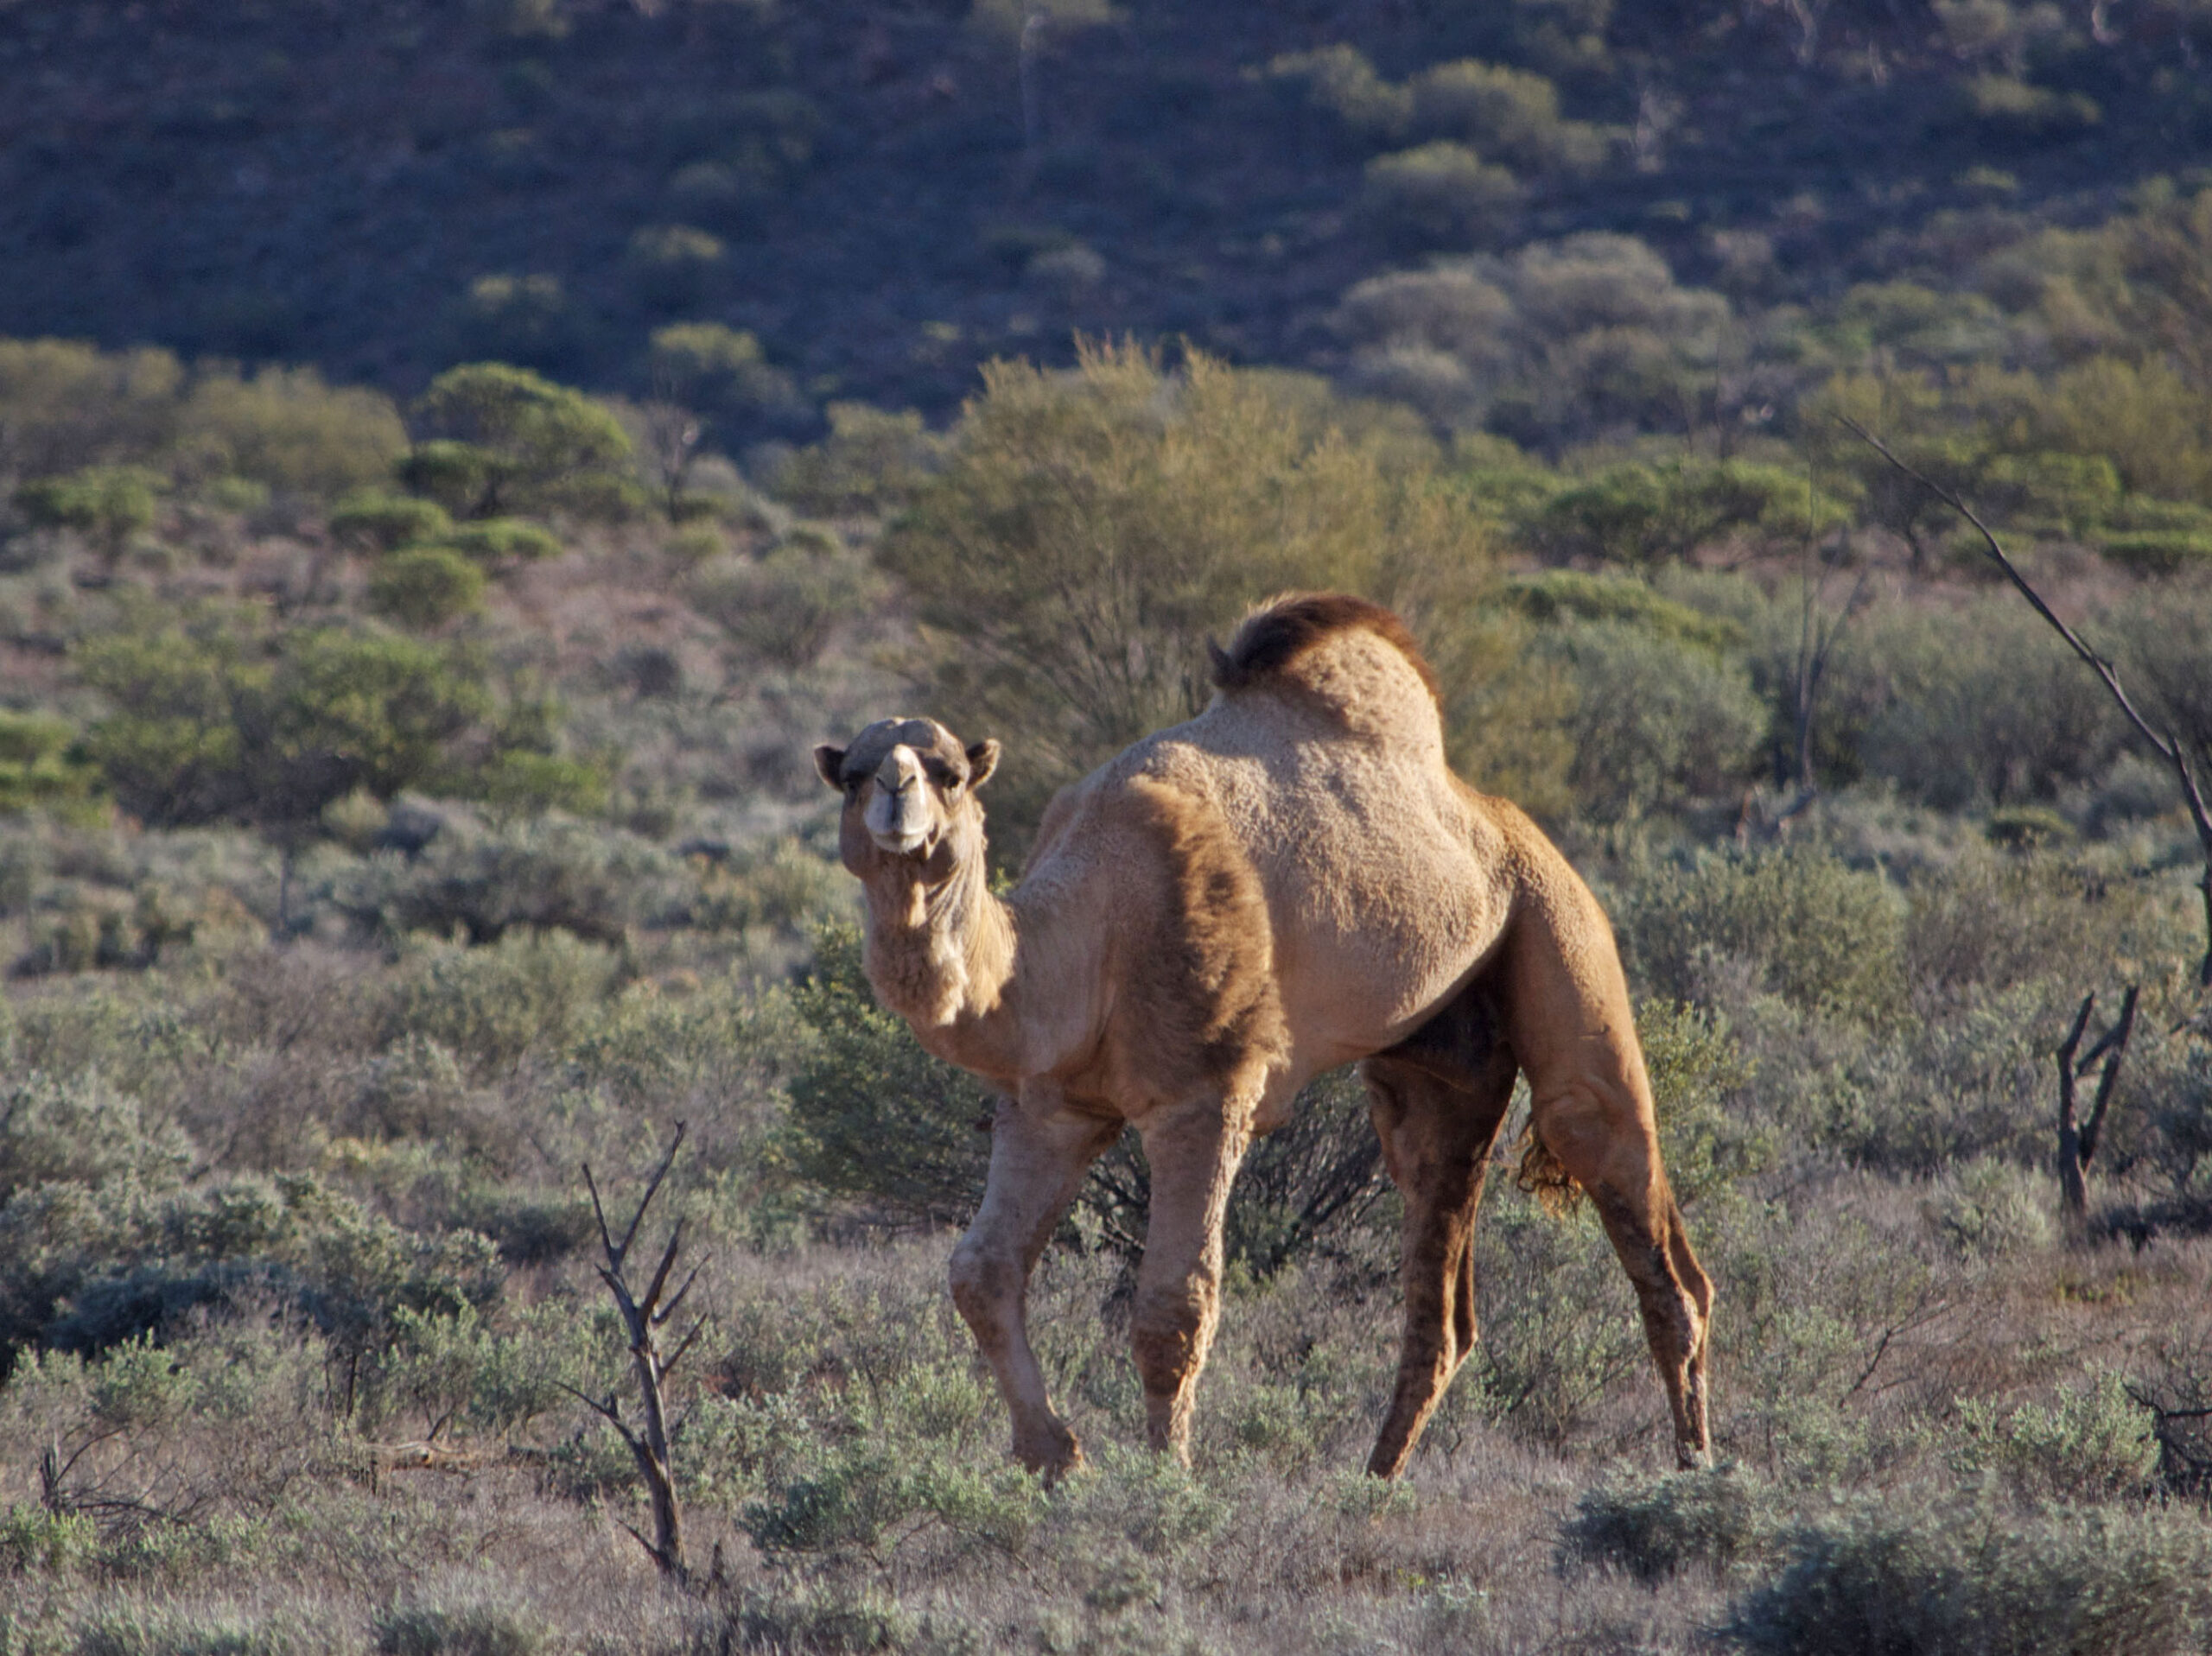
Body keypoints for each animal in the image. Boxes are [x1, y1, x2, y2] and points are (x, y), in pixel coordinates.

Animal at [812, 593, 1712, 1478]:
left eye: (950, 774)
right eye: (850, 775)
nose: (895, 790)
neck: (1085, 939)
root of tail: (1499, 818)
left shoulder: (1205, 1099)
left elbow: (1174, 1304)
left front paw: (1166, 1482)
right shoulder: (1049, 1106)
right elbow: (981, 1271)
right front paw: (1054, 1457)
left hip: (1558, 923)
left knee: (1624, 1180)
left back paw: (1695, 1467)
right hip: (1438, 1061)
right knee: (1441, 1270)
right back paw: (1374, 1483)